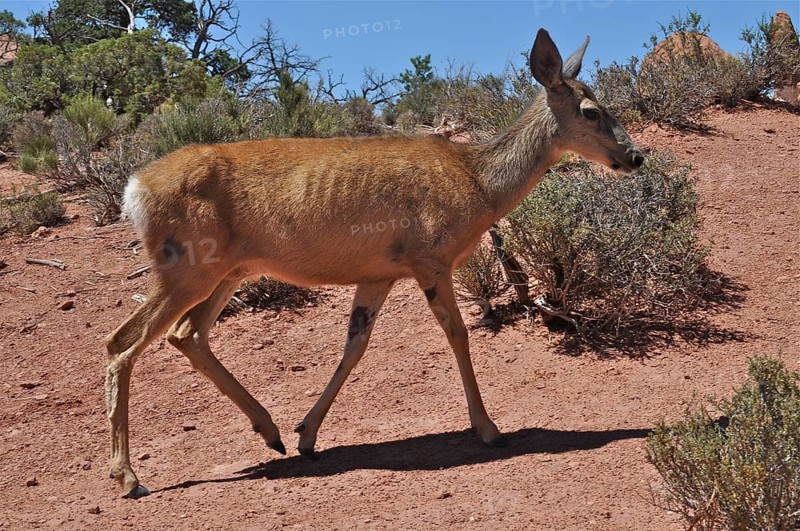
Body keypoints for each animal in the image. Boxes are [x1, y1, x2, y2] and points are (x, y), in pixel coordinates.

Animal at [105, 28, 644, 498]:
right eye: (591, 110)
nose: (636, 155)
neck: (478, 184)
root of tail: (135, 190)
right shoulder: (430, 258)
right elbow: (459, 335)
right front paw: (489, 428)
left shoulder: (379, 272)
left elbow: (355, 347)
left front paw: (307, 435)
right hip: (185, 266)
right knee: (122, 341)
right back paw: (129, 477)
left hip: (227, 270)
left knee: (187, 334)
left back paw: (270, 432)